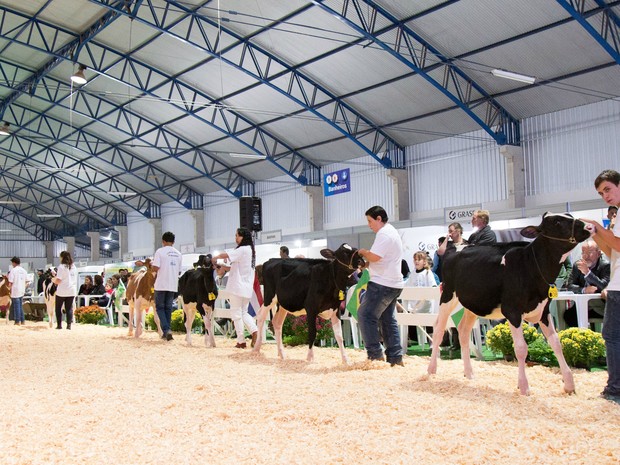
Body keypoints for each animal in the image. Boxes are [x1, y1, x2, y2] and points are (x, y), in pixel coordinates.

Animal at [426, 212, 592, 394]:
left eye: (569, 215)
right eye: (557, 222)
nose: (589, 226)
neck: (531, 265)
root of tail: (455, 247)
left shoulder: (543, 310)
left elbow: (556, 343)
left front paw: (569, 384)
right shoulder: (512, 311)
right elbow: (521, 348)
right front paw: (524, 387)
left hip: (473, 304)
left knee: (463, 330)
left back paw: (469, 373)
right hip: (448, 296)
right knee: (438, 329)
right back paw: (431, 370)